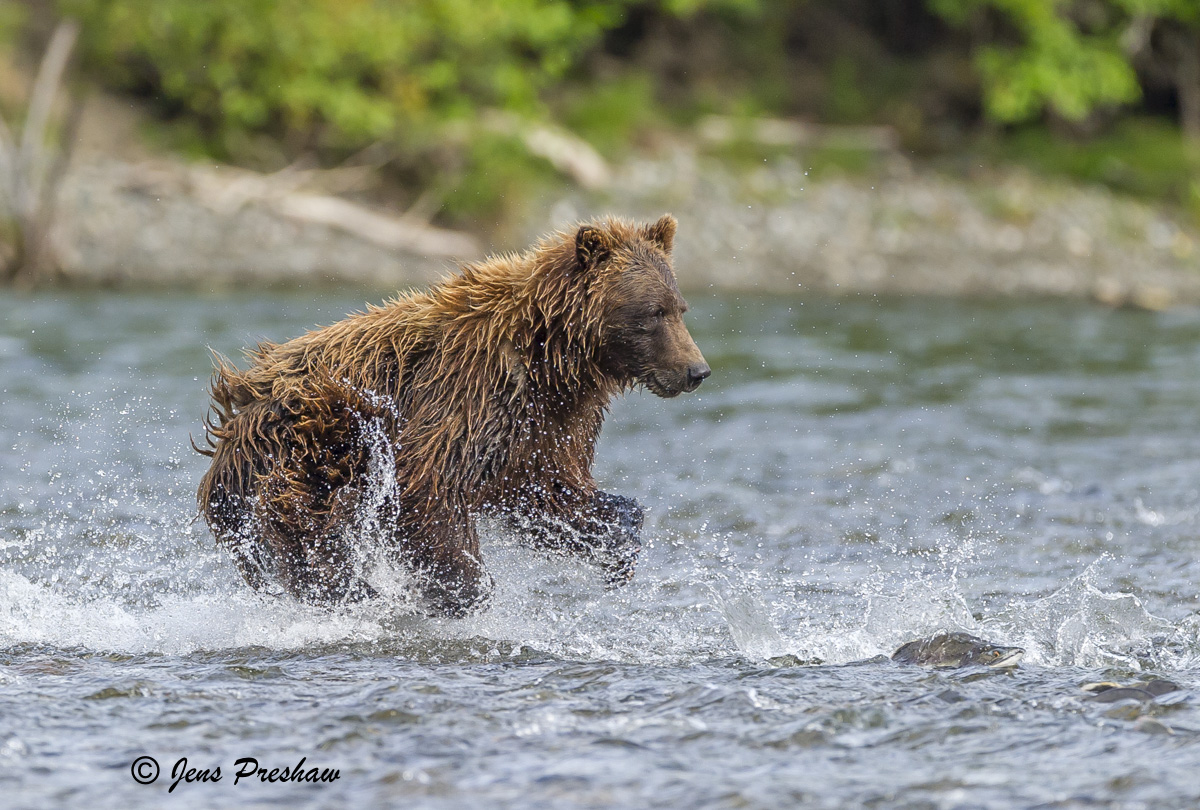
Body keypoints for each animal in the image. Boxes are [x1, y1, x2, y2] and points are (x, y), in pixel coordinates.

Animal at [194, 216, 700, 614]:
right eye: (654, 312)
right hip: (317, 420)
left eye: (679, 307)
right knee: (303, 498)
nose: (697, 370)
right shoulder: (465, 390)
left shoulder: (546, 425)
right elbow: (427, 481)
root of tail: (240, 399)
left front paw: (617, 545)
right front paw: (458, 587)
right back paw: (346, 586)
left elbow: (552, 491)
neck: (552, 358)